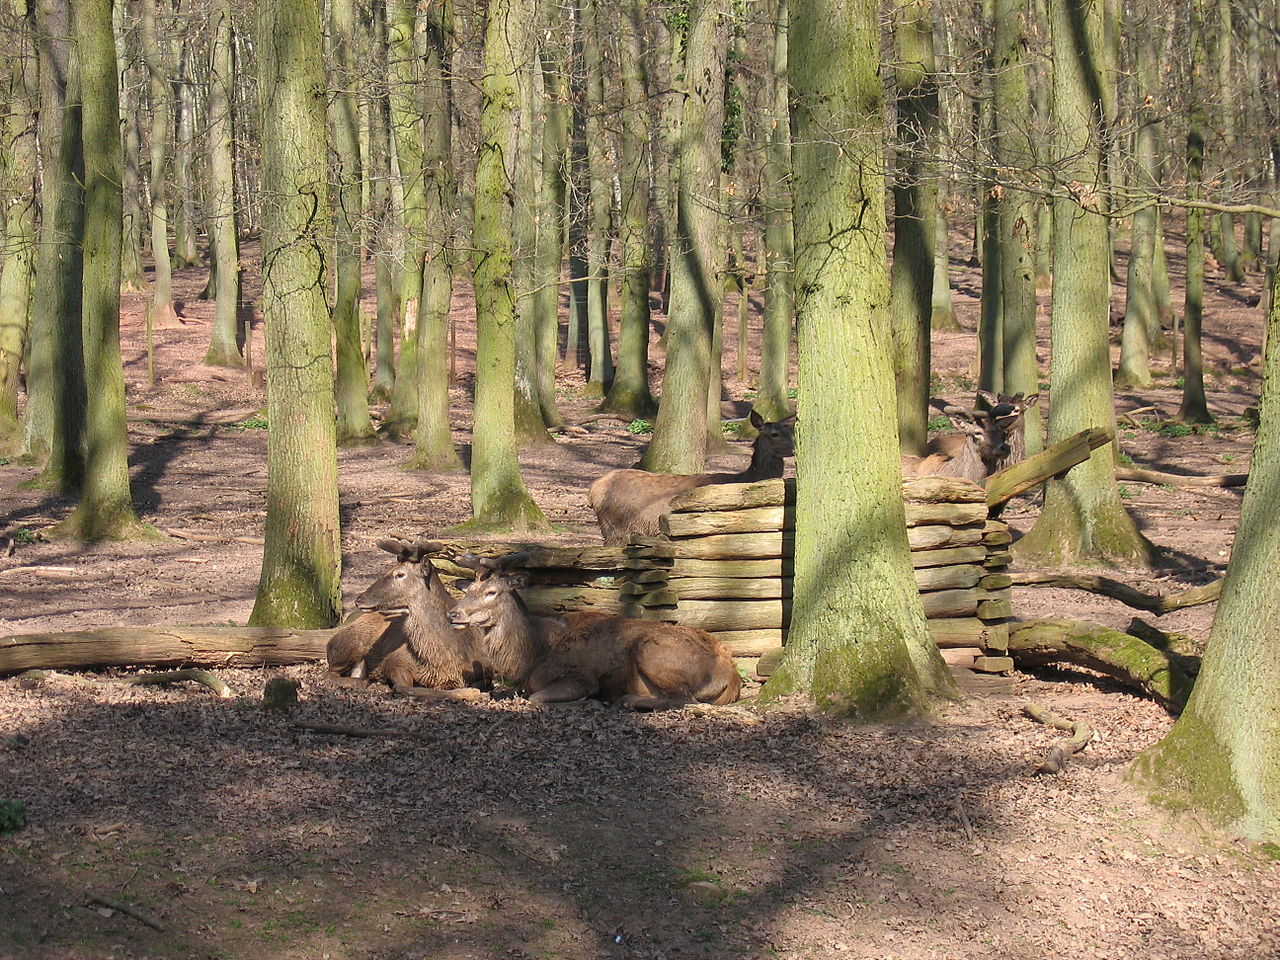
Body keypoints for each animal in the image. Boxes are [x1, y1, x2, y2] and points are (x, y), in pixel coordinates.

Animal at [325, 542, 494, 691]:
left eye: (400, 574)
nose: (359, 599)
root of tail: (331, 641)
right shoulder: (394, 662)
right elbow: (404, 684)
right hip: (349, 646)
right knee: (330, 673)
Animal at [448, 552, 742, 711]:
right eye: (468, 589)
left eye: (491, 592)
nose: (453, 613)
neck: (532, 656)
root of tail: (731, 675)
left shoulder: (579, 677)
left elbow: (536, 698)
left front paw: (590, 702)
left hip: (652, 652)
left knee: (684, 699)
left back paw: (626, 699)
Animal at [586, 409, 788, 545]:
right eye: (774, 434)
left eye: (789, 431)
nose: (792, 448)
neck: (747, 477)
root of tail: (593, 489)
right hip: (614, 529)